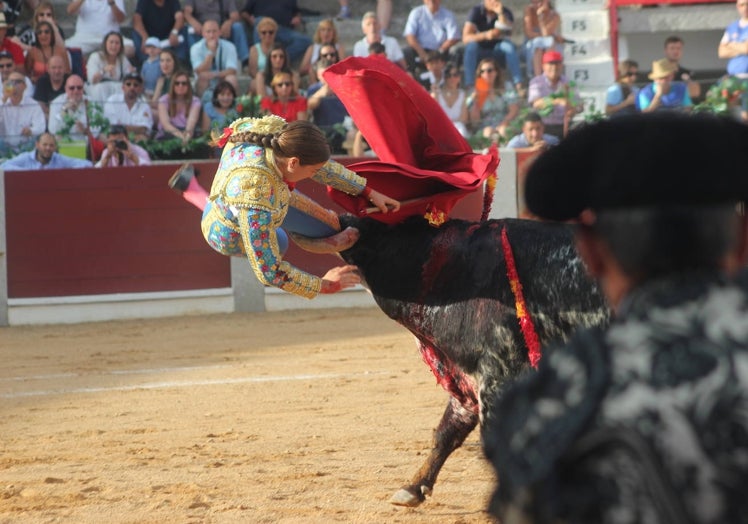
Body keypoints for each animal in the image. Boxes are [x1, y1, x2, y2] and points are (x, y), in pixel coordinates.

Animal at [334, 215, 612, 506]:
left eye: (375, 233)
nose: (344, 218)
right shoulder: (466, 380)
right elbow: (448, 431)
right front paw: (412, 487)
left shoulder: (498, 372)